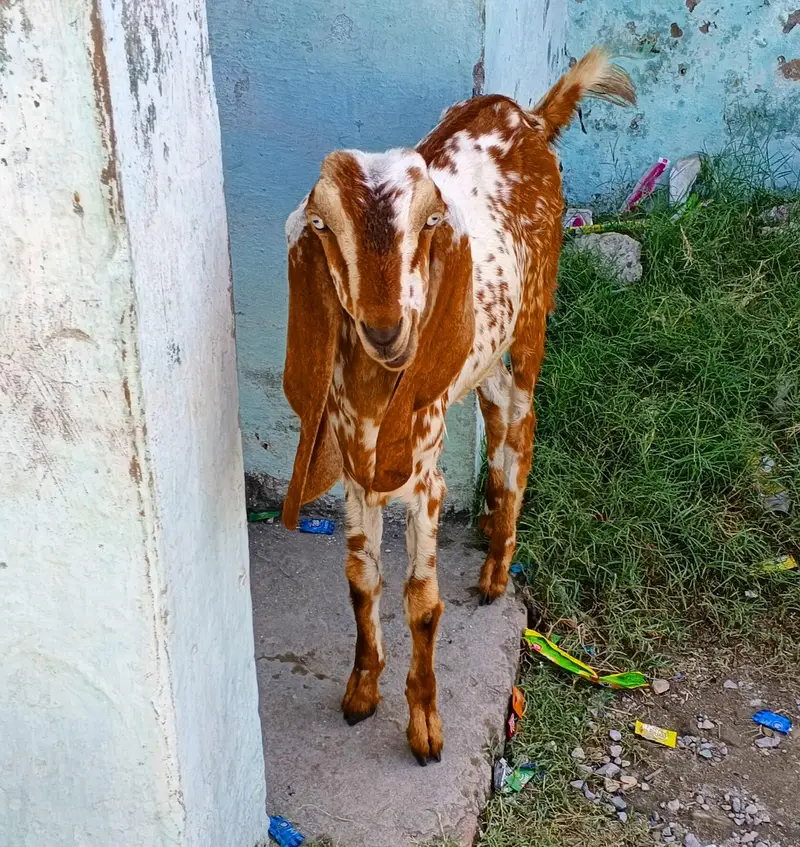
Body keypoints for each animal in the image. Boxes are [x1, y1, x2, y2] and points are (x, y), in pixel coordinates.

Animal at [281, 48, 635, 765]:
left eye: (429, 222)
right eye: (322, 226)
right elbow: (360, 579)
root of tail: (526, 115)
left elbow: (422, 601)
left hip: (532, 319)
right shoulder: (357, 473)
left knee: (521, 425)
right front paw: (361, 692)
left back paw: (499, 566)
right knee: (495, 411)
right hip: (480, 354)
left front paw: (424, 727)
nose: (387, 329)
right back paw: (493, 522)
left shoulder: (424, 480)